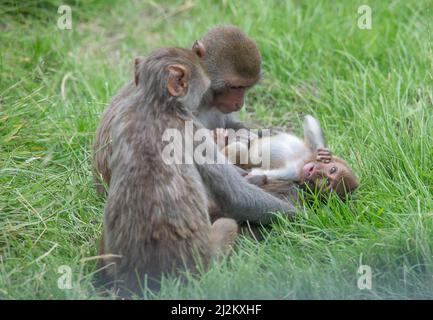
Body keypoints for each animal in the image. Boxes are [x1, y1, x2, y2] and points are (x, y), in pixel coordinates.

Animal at [97, 47, 294, 298]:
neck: (155, 103)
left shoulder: (124, 116)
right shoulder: (192, 128)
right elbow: (234, 195)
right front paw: (301, 214)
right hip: (206, 259)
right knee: (228, 223)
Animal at [213, 115, 358, 201]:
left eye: (327, 182)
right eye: (332, 170)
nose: (316, 172)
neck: (303, 163)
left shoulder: (294, 174)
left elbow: (257, 174)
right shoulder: (310, 152)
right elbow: (310, 121)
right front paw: (325, 153)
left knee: (239, 150)